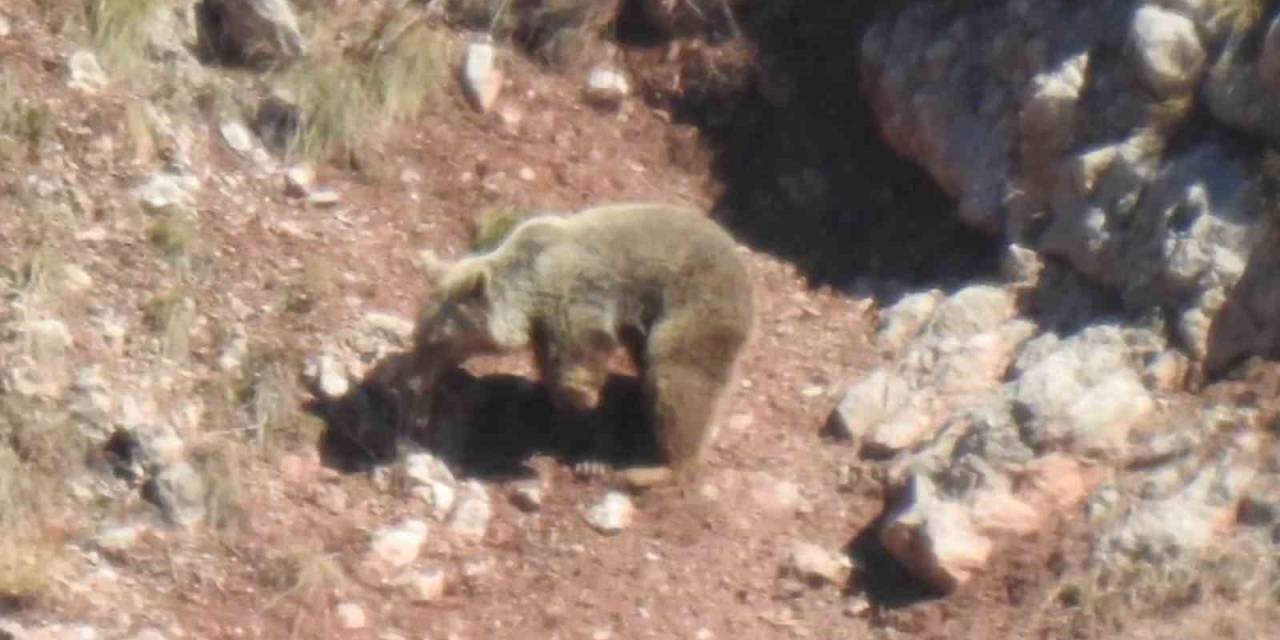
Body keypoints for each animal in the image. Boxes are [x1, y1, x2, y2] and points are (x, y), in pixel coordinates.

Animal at [404, 202, 752, 486]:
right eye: (418, 337)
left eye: (436, 342)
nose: (414, 381)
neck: (531, 289)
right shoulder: (545, 329)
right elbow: (555, 372)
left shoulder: (576, 292)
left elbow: (583, 355)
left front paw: (585, 411)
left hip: (695, 312)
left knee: (679, 384)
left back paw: (652, 470)